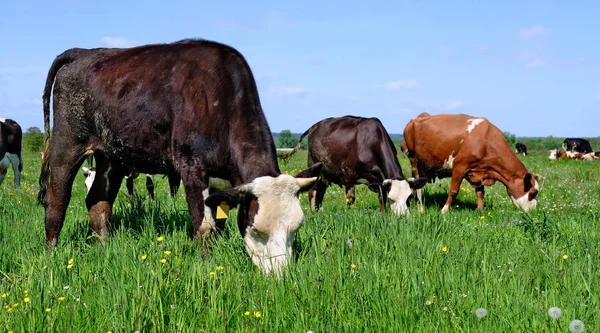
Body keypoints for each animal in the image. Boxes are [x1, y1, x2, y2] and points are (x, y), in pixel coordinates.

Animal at [36, 39, 324, 274]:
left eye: (295, 229)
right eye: (255, 229)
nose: (279, 277)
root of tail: (83, 53)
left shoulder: (221, 182)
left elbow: (218, 225)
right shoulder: (191, 167)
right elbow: (204, 227)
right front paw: (207, 268)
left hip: (111, 155)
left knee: (98, 201)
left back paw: (103, 250)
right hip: (67, 143)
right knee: (57, 200)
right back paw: (51, 255)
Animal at [278, 116, 426, 215]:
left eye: (410, 197)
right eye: (392, 198)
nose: (403, 216)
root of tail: (313, 126)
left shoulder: (379, 180)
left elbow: (381, 198)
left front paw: (383, 214)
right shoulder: (349, 175)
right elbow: (350, 200)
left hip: (326, 173)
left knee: (320, 191)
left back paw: (320, 212)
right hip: (314, 166)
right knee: (312, 192)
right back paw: (313, 212)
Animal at [404, 112, 540, 213]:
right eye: (533, 192)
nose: (534, 211)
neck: (485, 142)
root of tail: (416, 118)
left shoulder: (480, 170)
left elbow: (480, 192)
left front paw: (480, 210)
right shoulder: (459, 167)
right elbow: (453, 191)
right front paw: (444, 211)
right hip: (413, 159)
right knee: (418, 185)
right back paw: (421, 208)